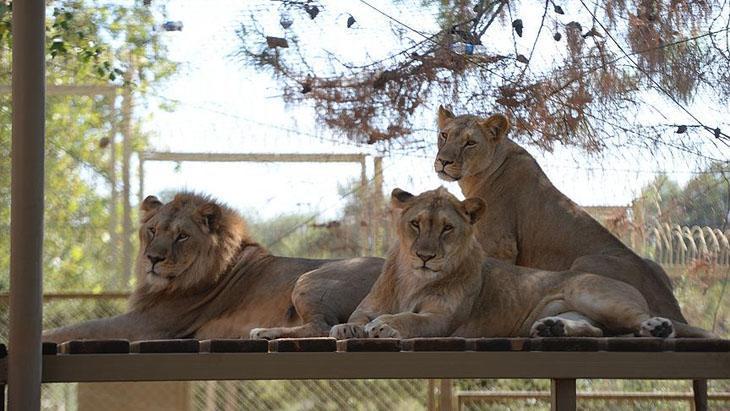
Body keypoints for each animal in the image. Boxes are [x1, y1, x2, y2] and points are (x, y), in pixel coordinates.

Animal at [43, 194, 382, 344]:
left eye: (182, 235)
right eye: (152, 230)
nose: (152, 258)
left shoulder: (148, 325)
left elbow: (76, 329)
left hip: (308, 279)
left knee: (322, 327)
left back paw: (264, 331)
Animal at [328, 188, 704, 340]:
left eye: (447, 228)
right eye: (416, 224)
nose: (425, 256)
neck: (412, 278)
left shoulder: (441, 320)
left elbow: (409, 319)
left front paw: (386, 326)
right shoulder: (367, 307)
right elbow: (353, 320)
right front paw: (346, 329)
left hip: (594, 295)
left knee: (639, 319)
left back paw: (658, 327)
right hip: (580, 311)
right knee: (596, 330)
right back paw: (552, 329)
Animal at [436, 106, 684, 326]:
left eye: (470, 143)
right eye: (444, 135)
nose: (443, 162)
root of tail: (672, 307)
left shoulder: (499, 244)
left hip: (582, 264)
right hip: (654, 265)